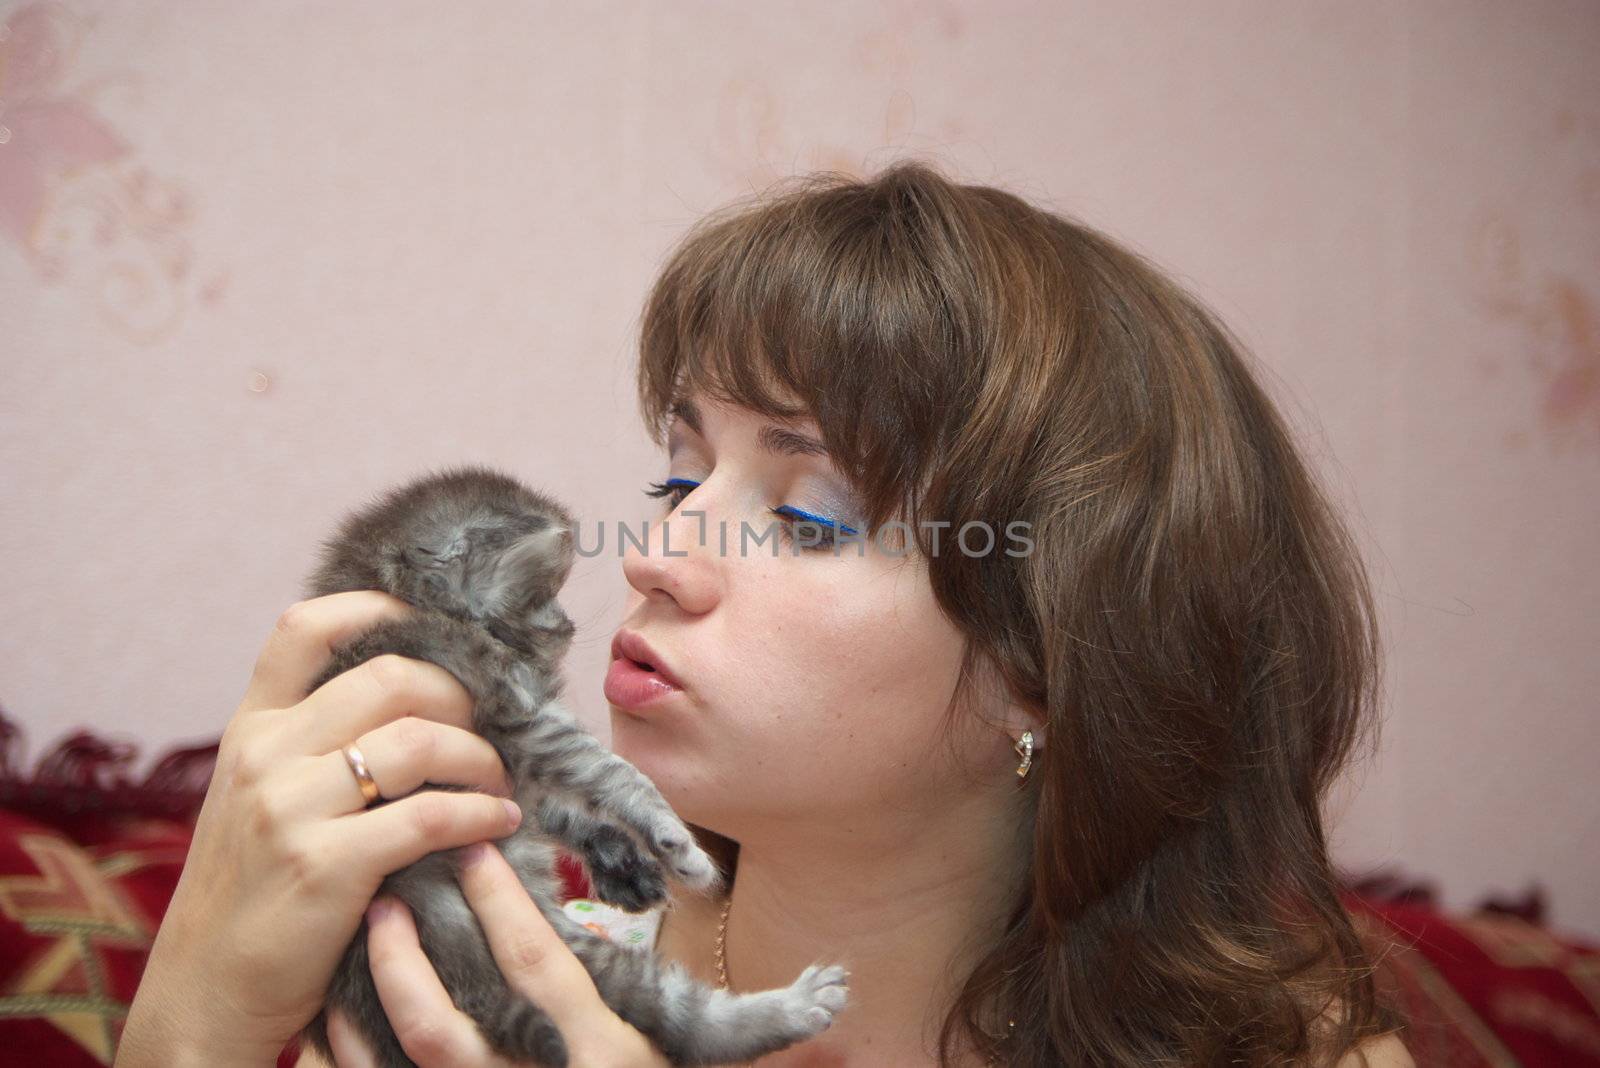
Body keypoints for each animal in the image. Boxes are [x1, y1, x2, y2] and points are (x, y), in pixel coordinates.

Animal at [299, 463, 851, 1068]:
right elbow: (617, 774)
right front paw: (679, 848)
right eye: (544, 594)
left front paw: (622, 861)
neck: (414, 604)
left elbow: (568, 808)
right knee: (682, 1022)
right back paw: (798, 1006)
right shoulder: (521, 714)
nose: (567, 622)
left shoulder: (519, 766)